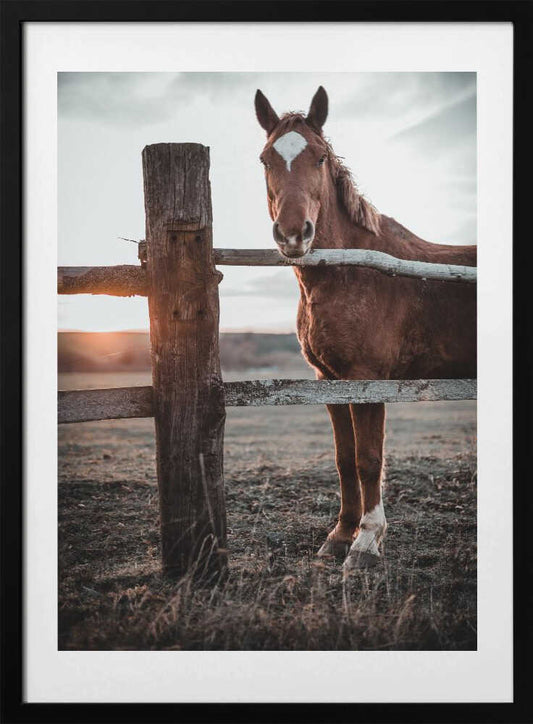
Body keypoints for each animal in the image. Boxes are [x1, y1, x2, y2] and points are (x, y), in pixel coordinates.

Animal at [254, 86, 476, 569]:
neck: (351, 270)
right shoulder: (330, 381)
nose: (293, 234)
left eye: (319, 157)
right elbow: (344, 459)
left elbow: (369, 458)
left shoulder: (368, 379)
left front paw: (366, 542)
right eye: (265, 159)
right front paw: (340, 535)